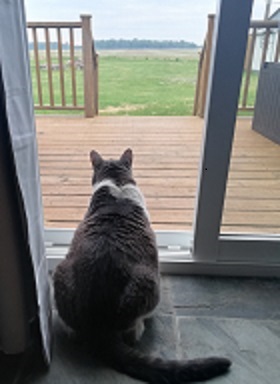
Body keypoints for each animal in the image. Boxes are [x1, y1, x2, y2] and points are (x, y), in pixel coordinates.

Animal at [53, 148, 232, 382]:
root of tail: (98, 326)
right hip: (148, 280)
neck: (117, 182)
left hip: (61, 270)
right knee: (133, 331)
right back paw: (140, 326)